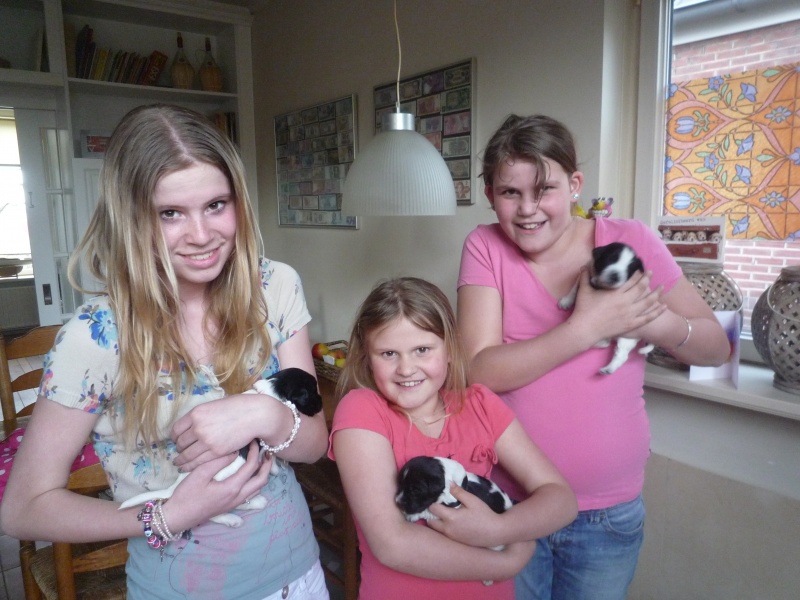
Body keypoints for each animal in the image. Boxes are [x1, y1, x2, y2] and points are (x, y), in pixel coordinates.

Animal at [119, 367, 322, 528]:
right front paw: (273, 468)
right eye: (313, 392)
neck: (273, 390)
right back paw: (242, 513)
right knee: (215, 511)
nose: (320, 403)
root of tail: (174, 488)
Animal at [558, 242, 654, 375]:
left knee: (621, 355)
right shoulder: (584, 272)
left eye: (629, 270)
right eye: (610, 259)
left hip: (627, 338)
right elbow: (574, 287)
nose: (615, 275)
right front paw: (566, 301)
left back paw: (608, 369)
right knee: (606, 343)